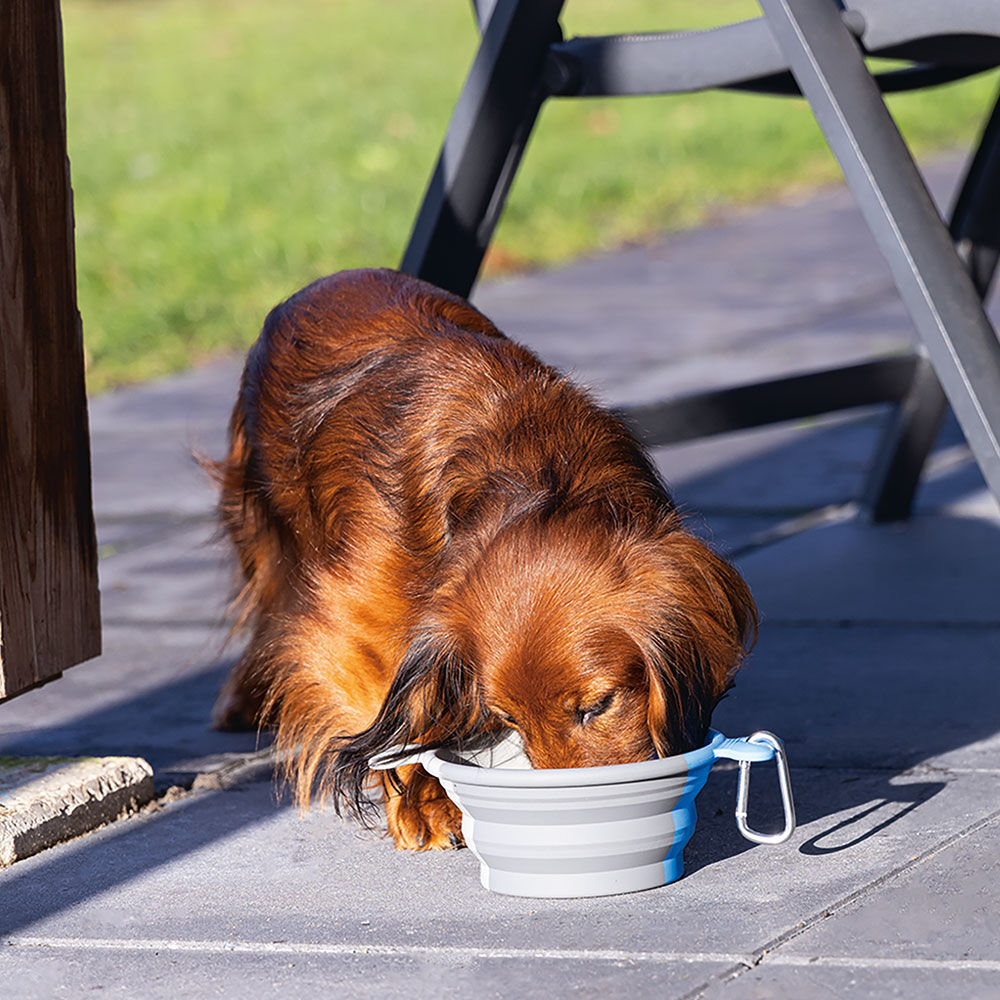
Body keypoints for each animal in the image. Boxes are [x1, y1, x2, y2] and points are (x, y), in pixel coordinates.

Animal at [213, 270, 756, 848]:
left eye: (596, 706)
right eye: (508, 718)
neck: (536, 475)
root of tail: (322, 284)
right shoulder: (353, 624)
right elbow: (394, 711)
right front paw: (422, 804)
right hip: (266, 527)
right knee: (268, 602)